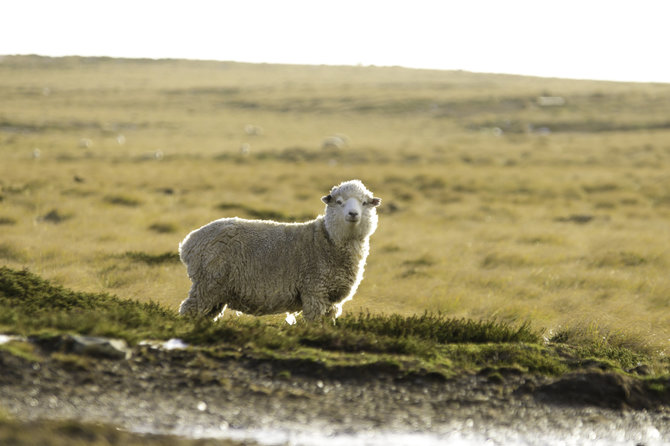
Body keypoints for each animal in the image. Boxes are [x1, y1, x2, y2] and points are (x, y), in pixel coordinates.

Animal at [178, 179, 384, 322]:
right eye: (339, 202)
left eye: (365, 203)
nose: (353, 214)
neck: (328, 240)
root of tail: (189, 243)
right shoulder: (315, 291)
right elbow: (314, 323)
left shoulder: (332, 300)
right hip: (209, 283)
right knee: (189, 310)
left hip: (216, 290)